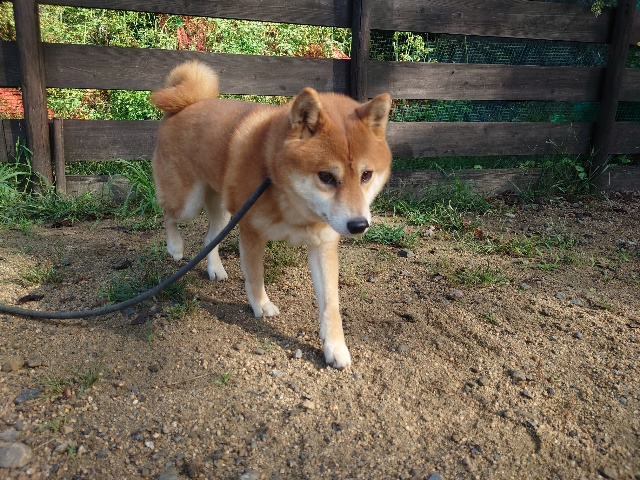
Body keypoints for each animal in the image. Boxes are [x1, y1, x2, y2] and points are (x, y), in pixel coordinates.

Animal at [150, 60, 392, 368]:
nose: (358, 225)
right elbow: (255, 277)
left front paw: (335, 347)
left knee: (209, 237)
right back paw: (175, 247)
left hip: (224, 210)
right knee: (168, 214)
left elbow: (331, 303)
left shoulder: (323, 245)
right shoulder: (251, 231)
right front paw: (261, 306)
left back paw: (215, 268)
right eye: (326, 177)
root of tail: (186, 105)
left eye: (366, 175)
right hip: (188, 202)